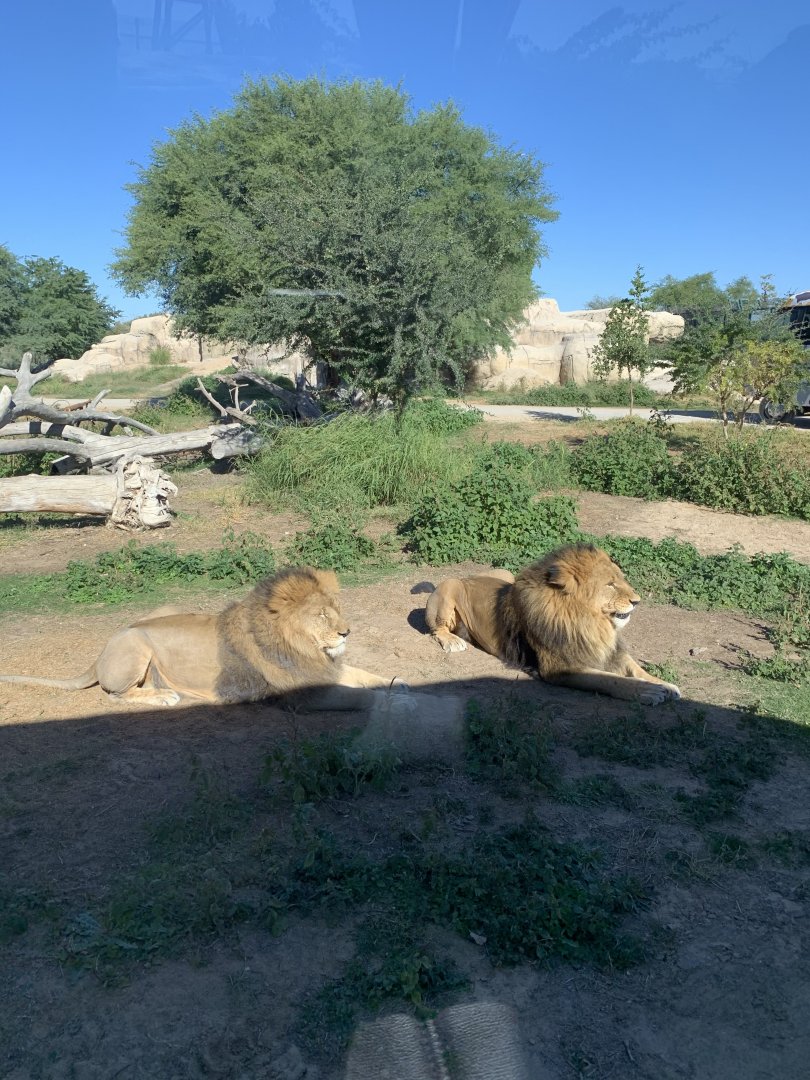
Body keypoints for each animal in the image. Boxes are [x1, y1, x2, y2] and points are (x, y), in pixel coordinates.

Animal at [0, 566, 406, 709]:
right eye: (322, 614)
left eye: (337, 608)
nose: (346, 631)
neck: (306, 647)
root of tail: (100, 653)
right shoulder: (306, 693)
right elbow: (359, 695)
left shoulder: (326, 668)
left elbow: (364, 675)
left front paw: (398, 683)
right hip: (136, 645)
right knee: (114, 693)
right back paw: (164, 696)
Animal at [415, 543, 680, 706]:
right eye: (610, 584)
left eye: (622, 579)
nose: (637, 601)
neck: (593, 623)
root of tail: (466, 576)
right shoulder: (560, 668)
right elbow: (611, 679)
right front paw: (648, 691)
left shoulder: (610, 650)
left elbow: (636, 669)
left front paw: (665, 685)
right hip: (450, 585)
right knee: (436, 629)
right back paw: (454, 641)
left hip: (505, 574)